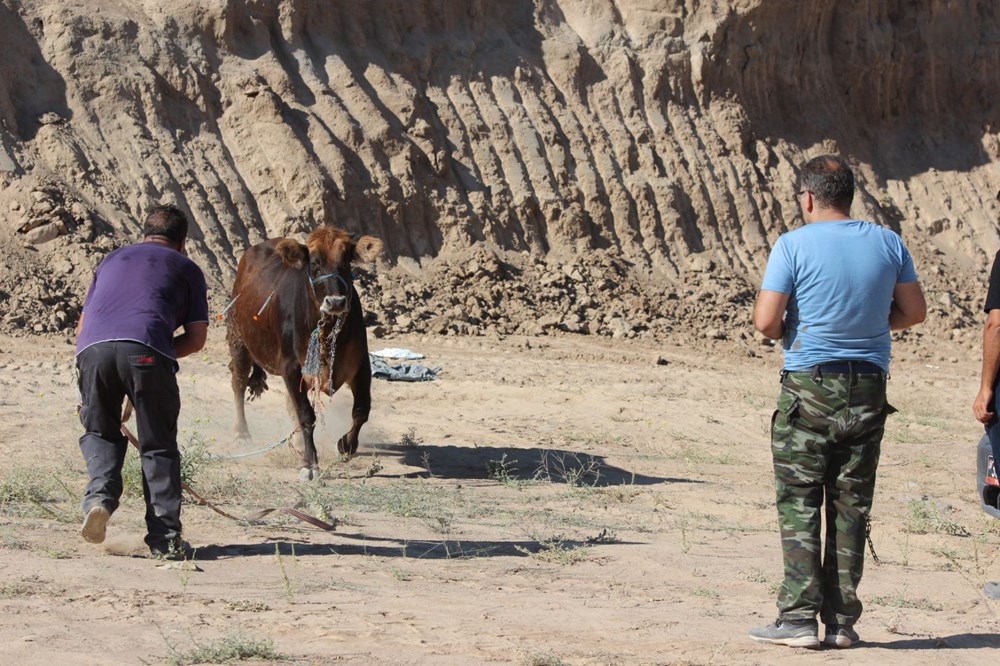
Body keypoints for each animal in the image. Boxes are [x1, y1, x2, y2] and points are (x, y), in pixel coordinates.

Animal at [227, 227, 382, 478]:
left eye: (346, 261)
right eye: (315, 263)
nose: (335, 302)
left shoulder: (361, 366)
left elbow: (361, 410)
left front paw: (345, 447)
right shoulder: (291, 367)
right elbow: (306, 414)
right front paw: (310, 463)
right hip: (238, 341)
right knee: (239, 383)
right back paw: (241, 433)